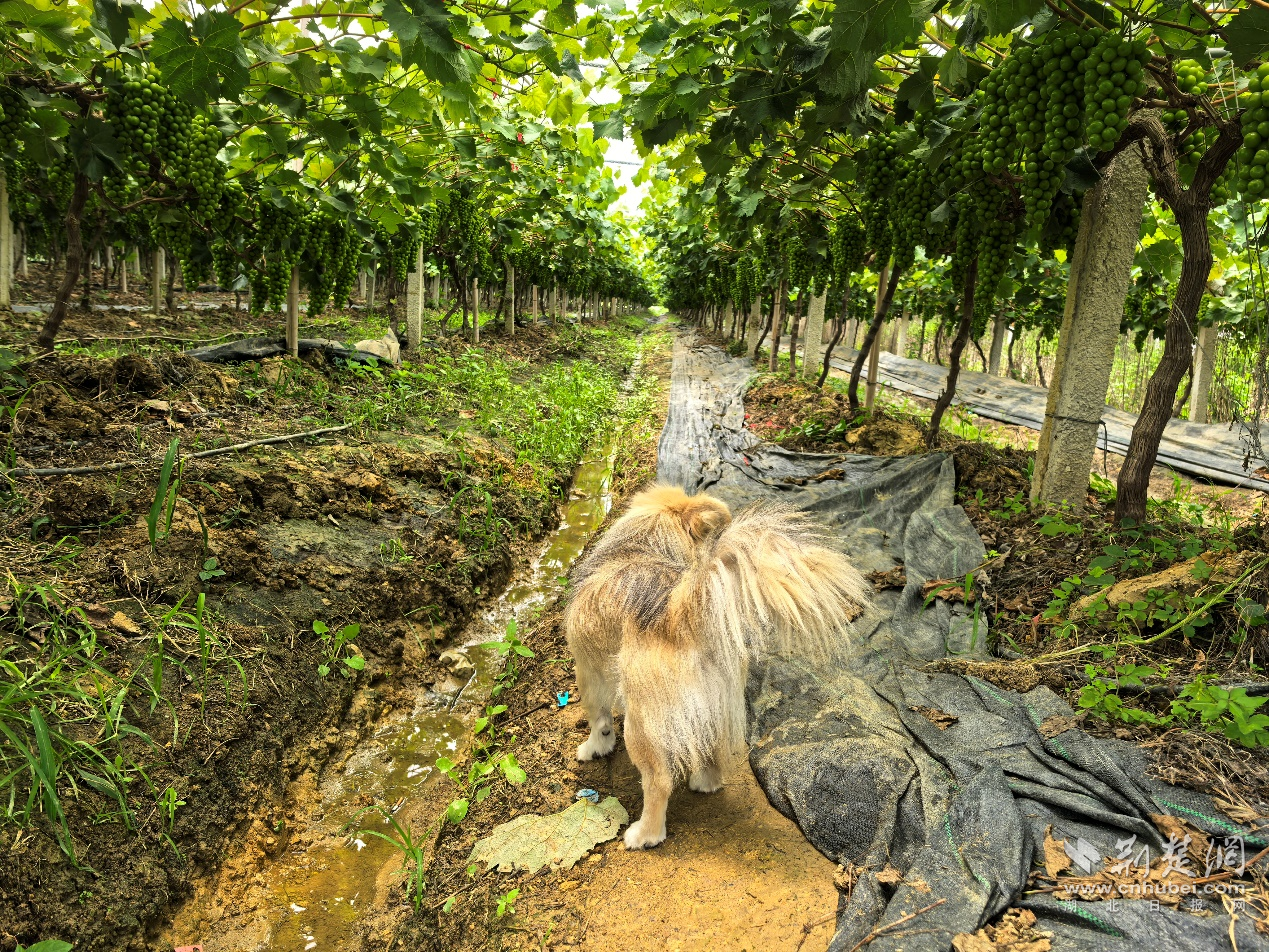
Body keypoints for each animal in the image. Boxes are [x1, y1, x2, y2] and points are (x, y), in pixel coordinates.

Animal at [565, 484, 873, 847]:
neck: (641, 546)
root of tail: (682, 615)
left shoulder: (588, 670)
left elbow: (597, 717)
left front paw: (594, 747)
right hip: (720, 699)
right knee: (711, 747)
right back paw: (706, 781)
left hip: (641, 725)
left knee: (659, 780)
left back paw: (645, 833)